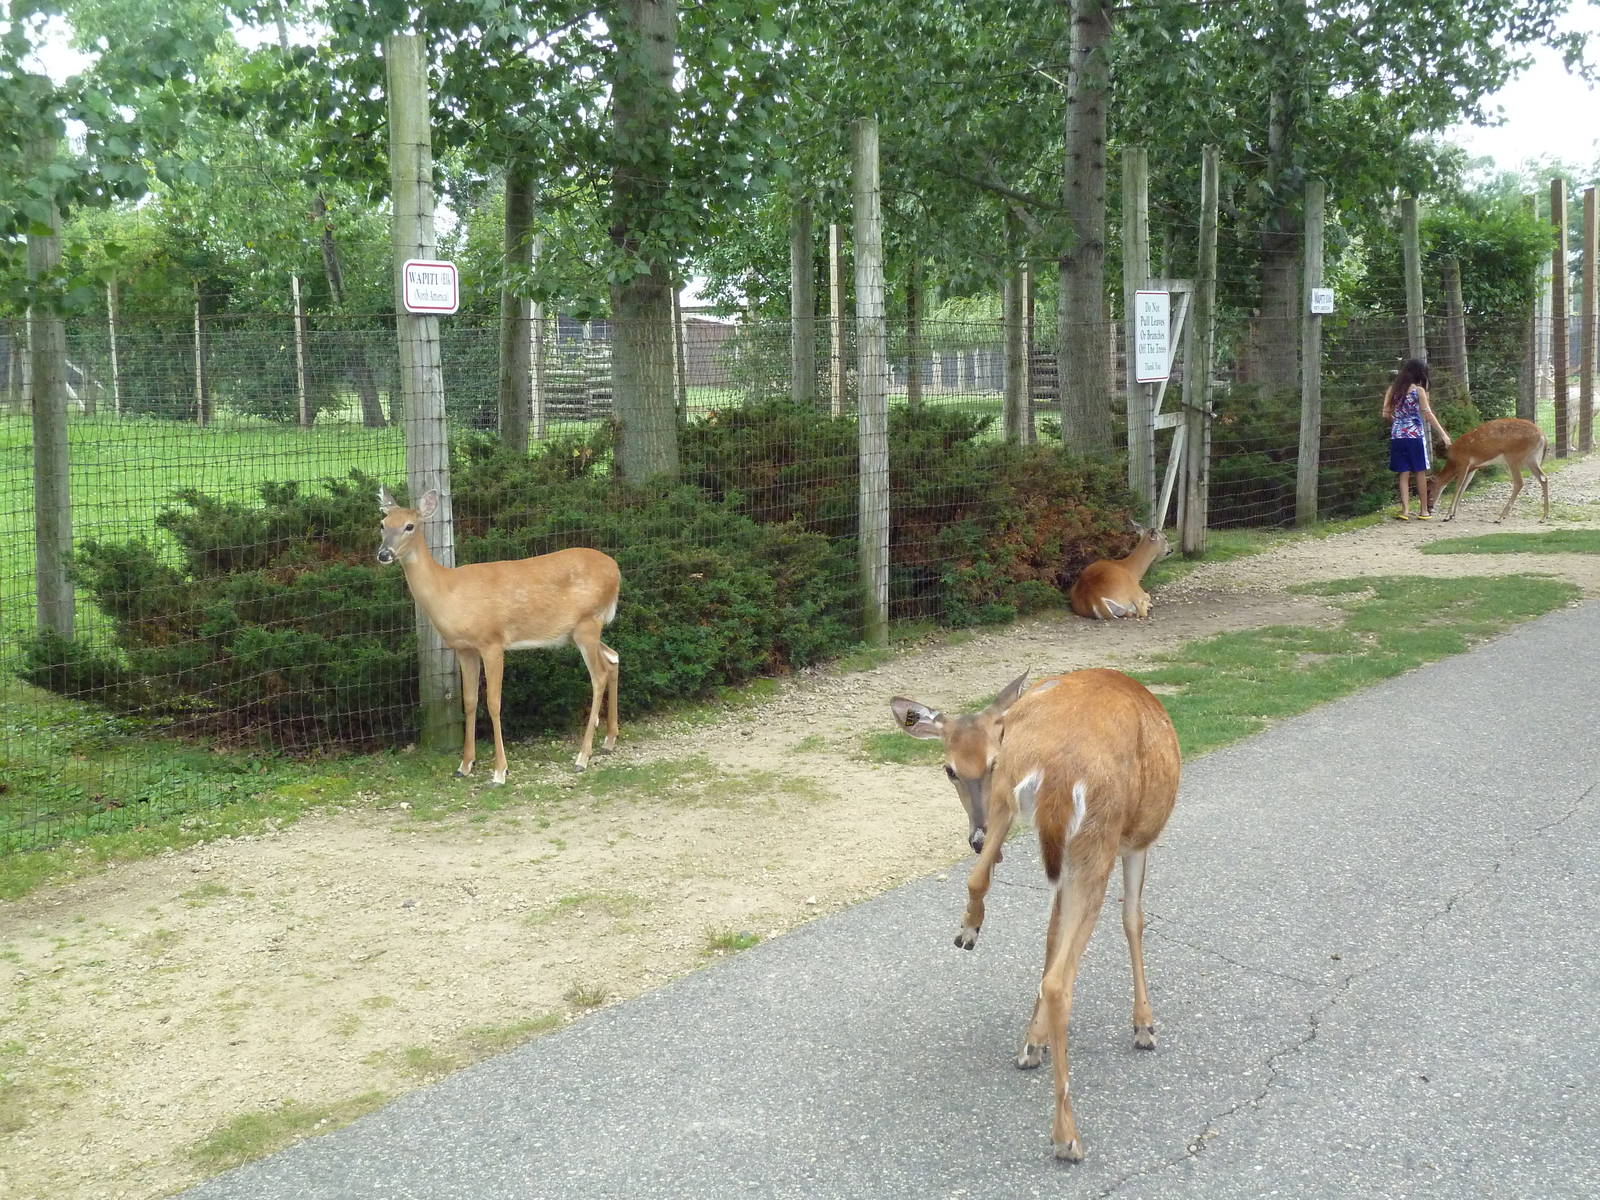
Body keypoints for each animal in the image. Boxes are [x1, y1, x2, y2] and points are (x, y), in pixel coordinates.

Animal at [376, 486, 621, 782]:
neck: (449, 593)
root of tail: (617, 570)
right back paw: (609, 741)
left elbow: (493, 702)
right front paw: (464, 765)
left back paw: (582, 757)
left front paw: (500, 771)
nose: (384, 554)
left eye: (409, 526)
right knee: (613, 658)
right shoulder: (464, 648)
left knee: (598, 676)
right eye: (382, 524)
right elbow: (469, 702)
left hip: (588, 622)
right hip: (577, 632)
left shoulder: (491, 641)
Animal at [889, 668, 1180, 1162]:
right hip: (1097, 840)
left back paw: (968, 930)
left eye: (986, 762)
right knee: (1062, 981)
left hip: (1013, 807)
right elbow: (1134, 919)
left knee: (979, 877)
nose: (975, 832)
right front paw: (1144, 1024)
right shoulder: (1137, 842)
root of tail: (1061, 769)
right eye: (949, 769)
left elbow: (1048, 935)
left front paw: (1033, 1040)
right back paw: (1067, 1135)